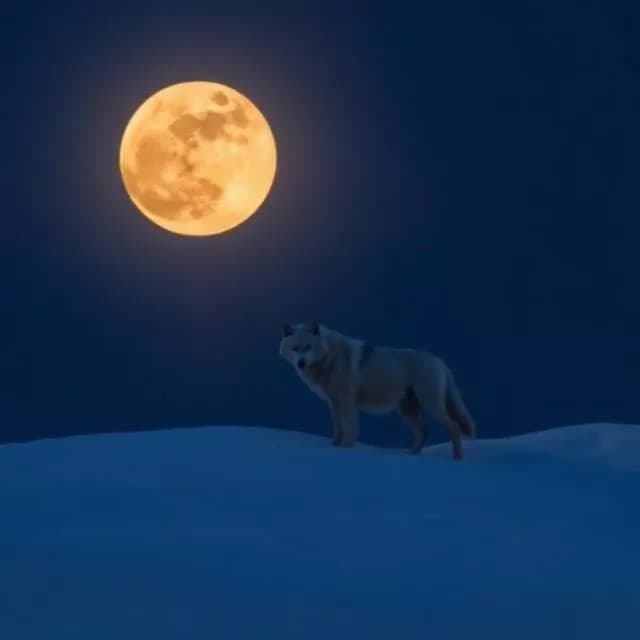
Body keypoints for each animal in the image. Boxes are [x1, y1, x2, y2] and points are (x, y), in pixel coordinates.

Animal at [279, 321, 476, 460]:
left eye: (308, 347)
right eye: (295, 348)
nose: (301, 363)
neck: (330, 357)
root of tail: (438, 360)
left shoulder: (347, 403)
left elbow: (349, 429)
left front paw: (346, 450)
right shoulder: (333, 403)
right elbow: (337, 429)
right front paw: (334, 447)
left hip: (431, 407)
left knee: (454, 427)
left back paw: (457, 458)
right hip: (407, 411)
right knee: (424, 431)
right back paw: (411, 455)